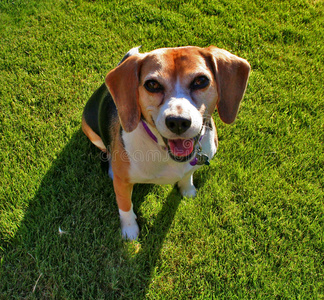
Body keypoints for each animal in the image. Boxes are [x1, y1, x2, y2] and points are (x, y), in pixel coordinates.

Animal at [81, 45, 251, 240]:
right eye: (152, 85)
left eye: (201, 81)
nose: (178, 121)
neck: (163, 150)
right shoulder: (122, 183)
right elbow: (125, 206)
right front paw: (130, 230)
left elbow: (188, 174)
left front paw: (187, 189)